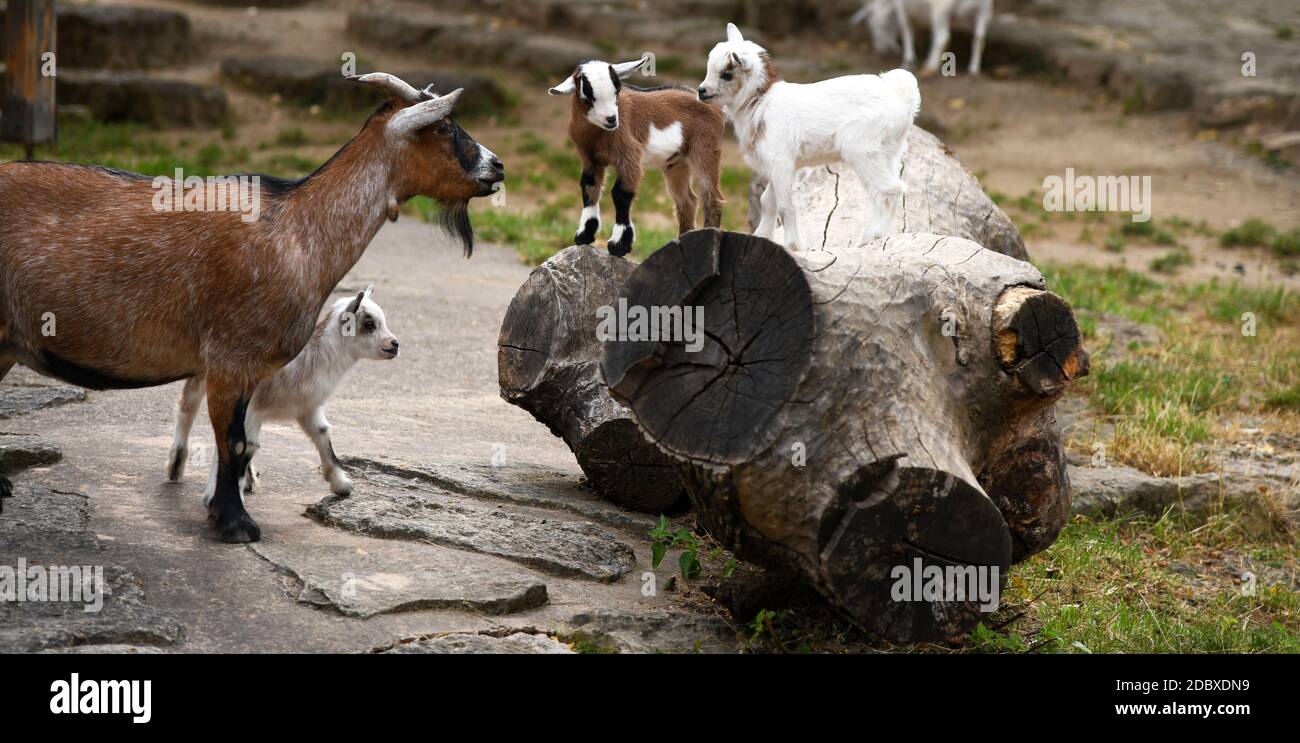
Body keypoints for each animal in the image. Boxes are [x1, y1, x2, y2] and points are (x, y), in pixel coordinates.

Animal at [169, 287, 400, 501]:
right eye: (369, 324)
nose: (395, 345)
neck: (306, 360)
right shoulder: (252, 409)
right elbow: (245, 445)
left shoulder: (306, 408)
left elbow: (322, 433)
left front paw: (341, 485)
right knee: (188, 408)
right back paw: (176, 465)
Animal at [546, 56, 728, 257]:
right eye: (586, 97)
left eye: (617, 91)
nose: (612, 119)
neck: (597, 135)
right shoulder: (590, 159)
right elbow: (588, 188)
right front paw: (584, 236)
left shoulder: (629, 155)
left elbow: (621, 194)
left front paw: (618, 245)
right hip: (676, 163)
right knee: (687, 201)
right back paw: (684, 240)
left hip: (706, 148)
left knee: (711, 196)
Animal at [696, 23, 920, 251]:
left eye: (726, 74)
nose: (701, 91)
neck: (761, 101)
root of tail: (901, 97)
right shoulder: (779, 166)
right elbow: (768, 201)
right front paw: (762, 236)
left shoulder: (781, 162)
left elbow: (785, 206)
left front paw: (793, 246)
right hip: (890, 151)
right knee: (895, 186)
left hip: (861, 148)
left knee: (888, 190)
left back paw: (869, 238)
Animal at [852, 0, 993, 76]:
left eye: (872, 24)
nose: (880, 49)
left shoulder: (901, 8)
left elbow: (906, 30)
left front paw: (908, 61)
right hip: (984, 12)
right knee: (979, 39)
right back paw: (973, 71)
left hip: (941, 10)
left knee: (943, 38)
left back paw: (929, 68)